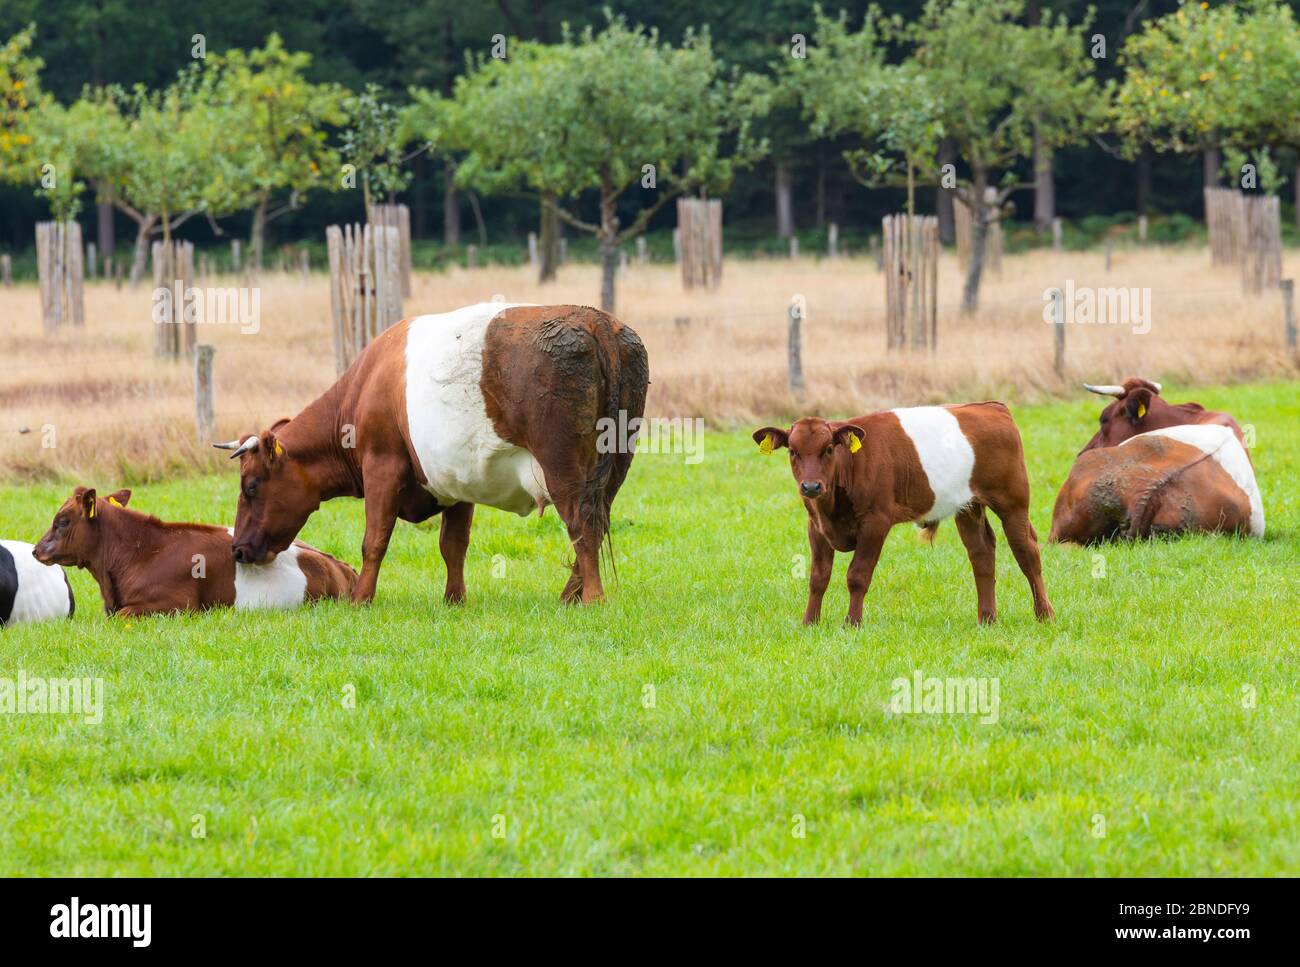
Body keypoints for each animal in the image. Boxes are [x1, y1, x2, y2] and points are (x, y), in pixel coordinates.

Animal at [759, 400, 1050, 626]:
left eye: (829, 449)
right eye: (793, 451)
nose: (810, 486)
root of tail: (992, 406)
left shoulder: (876, 522)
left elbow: (857, 575)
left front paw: (852, 623)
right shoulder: (816, 526)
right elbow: (818, 577)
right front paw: (810, 622)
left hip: (1013, 502)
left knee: (1027, 552)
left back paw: (1044, 615)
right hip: (967, 506)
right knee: (982, 554)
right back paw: (987, 619)